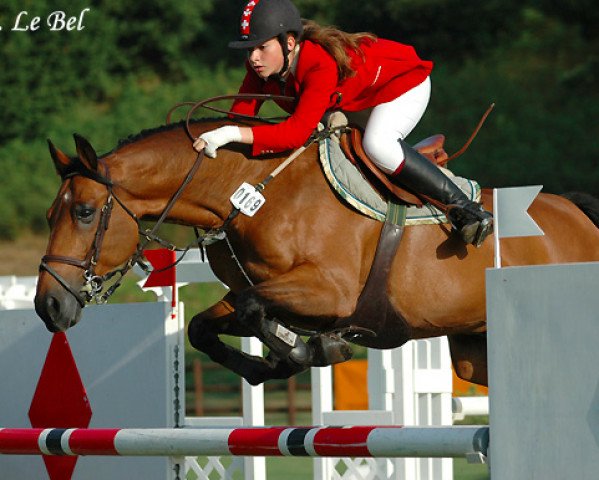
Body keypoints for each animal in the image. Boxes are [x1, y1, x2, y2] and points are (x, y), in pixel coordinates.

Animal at [34, 119, 599, 386]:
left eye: (84, 211)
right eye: (48, 215)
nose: (48, 306)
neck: (248, 194)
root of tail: (575, 212)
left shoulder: (329, 293)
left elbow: (253, 310)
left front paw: (311, 351)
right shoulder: (266, 289)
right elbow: (205, 325)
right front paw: (274, 364)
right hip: (473, 351)